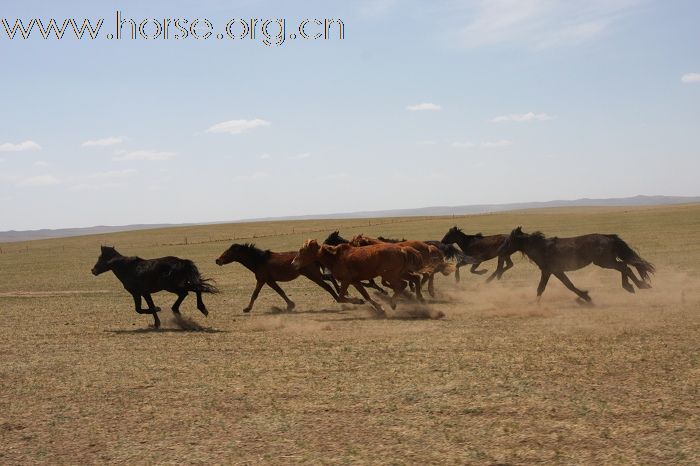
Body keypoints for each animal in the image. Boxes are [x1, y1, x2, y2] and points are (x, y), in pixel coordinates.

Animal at [216, 244, 364, 314]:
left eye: (228, 252)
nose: (217, 260)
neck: (259, 260)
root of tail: (314, 257)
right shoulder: (262, 280)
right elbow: (255, 294)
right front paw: (247, 308)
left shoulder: (268, 280)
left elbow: (279, 292)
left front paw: (290, 306)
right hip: (314, 274)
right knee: (330, 278)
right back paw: (346, 295)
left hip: (312, 275)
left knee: (327, 286)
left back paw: (347, 299)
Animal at [292, 240, 424, 314]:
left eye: (302, 251)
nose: (293, 263)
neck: (335, 258)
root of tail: (401, 249)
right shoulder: (355, 282)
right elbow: (366, 295)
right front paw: (379, 308)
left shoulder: (346, 281)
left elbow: (340, 297)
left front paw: (358, 301)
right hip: (400, 272)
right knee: (415, 279)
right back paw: (419, 299)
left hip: (390, 275)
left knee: (402, 285)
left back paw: (393, 303)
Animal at [498, 227, 656, 302]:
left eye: (508, 241)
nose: (499, 250)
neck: (541, 247)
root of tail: (609, 237)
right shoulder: (553, 271)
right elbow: (546, 287)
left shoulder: (551, 271)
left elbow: (565, 286)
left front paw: (587, 298)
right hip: (606, 261)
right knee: (625, 266)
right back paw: (633, 286)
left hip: (605, 262)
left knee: (625, 267)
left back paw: (638, 286)